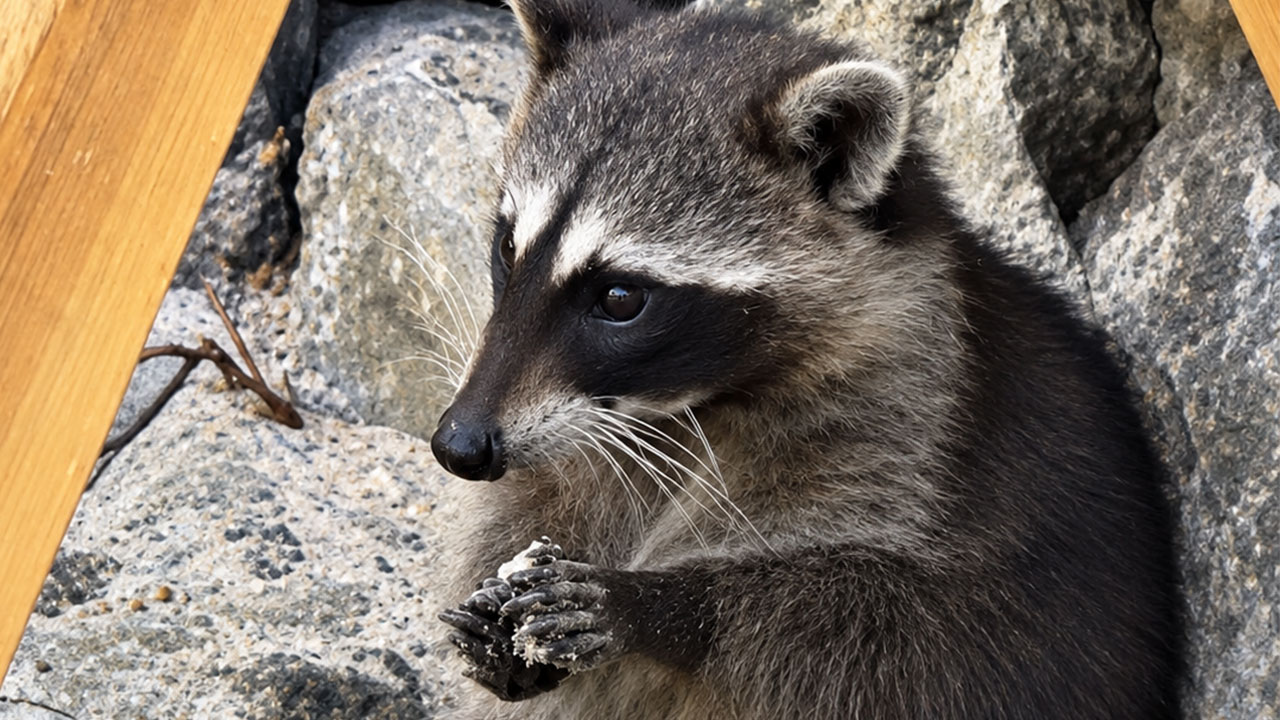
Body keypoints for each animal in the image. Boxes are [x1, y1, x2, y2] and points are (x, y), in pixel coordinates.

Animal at [432, 1, 1180, 718]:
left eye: (620, 297)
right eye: (508, 247)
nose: (459, 445)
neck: (688, 407)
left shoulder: (929, 438)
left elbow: (906, 634)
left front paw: (661, 603)